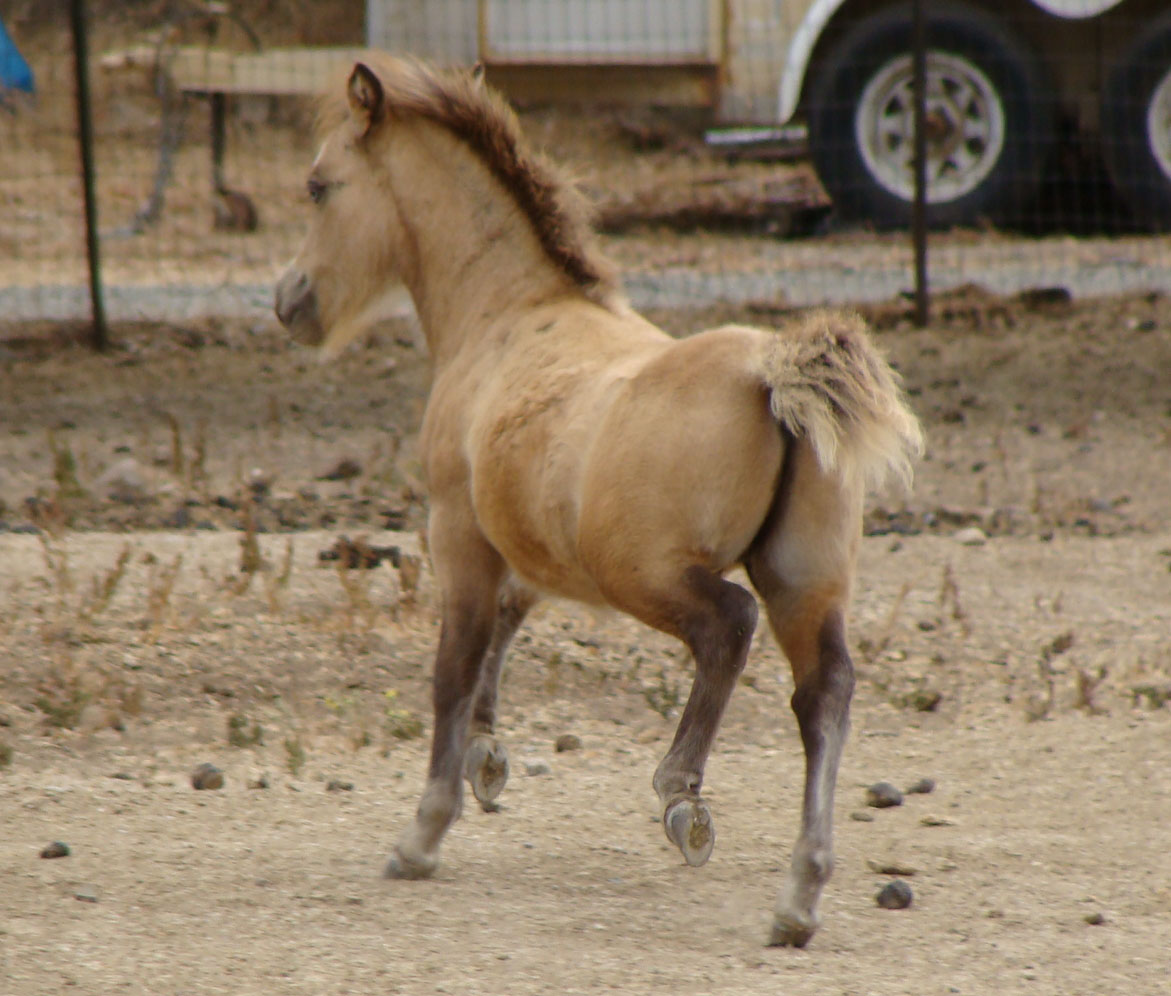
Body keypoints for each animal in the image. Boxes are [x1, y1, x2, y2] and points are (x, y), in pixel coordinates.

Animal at [276, 56, 922, 950]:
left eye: (318, 185)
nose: (288, 301)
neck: (505, 315)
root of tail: (772, 373)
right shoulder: (525, 544)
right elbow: (502, 631)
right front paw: (486, 759)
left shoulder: (459, 533)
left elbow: (453, 666)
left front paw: (423, 832)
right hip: (803, 583)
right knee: (823, 693)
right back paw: (799, 892)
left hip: (646, 573)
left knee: (728, 629)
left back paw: (681, 795)